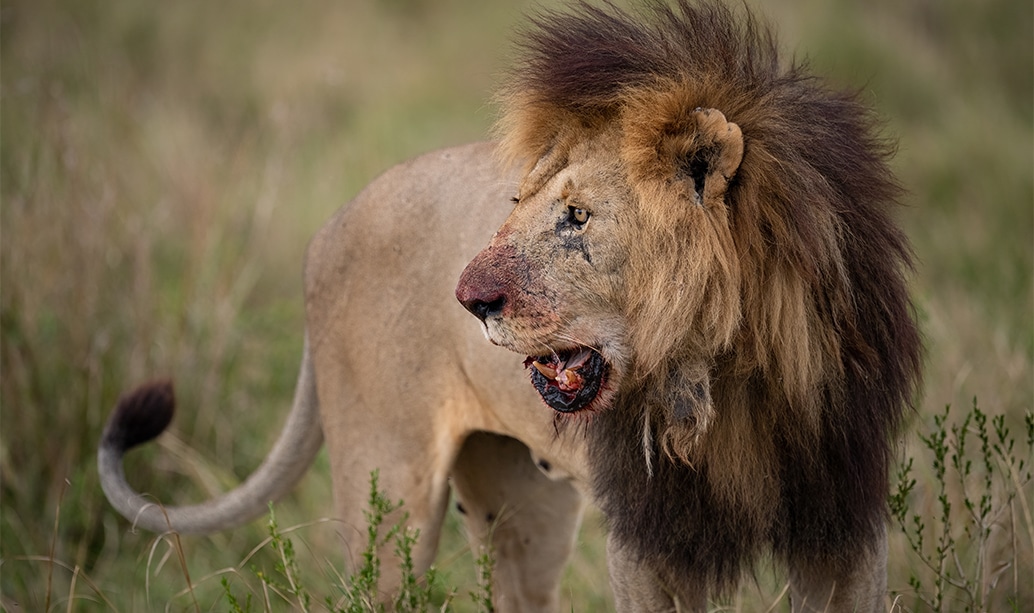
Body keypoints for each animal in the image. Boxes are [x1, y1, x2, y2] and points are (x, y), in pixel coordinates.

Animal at [456, 1, 922, 611]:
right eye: (516, 202)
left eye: (577, 215)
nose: (468, 300)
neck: (737, 371)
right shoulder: (648, 534)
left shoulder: (842, 514)